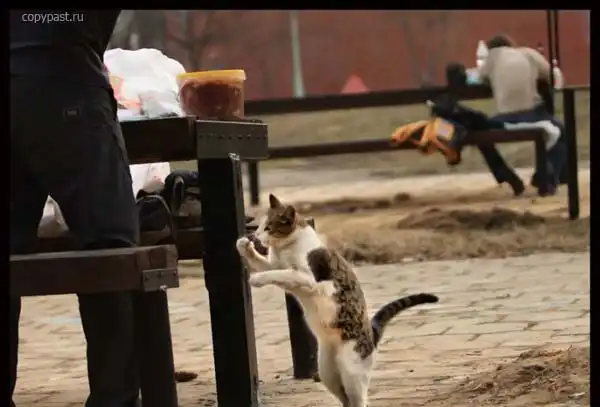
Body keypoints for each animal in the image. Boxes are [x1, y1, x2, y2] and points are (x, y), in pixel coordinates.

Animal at [236, 194, 439, 407]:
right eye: (259, 226)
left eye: (268, 227)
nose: (255, 236)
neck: (285, 248)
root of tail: (372, 333)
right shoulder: (273, 264)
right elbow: (267, 266)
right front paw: (243, 245)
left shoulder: (307, 277)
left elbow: (282, 273)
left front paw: (256, 279)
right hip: (327, 373)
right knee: (344, 399)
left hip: (351, 373)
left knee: (359, 400)